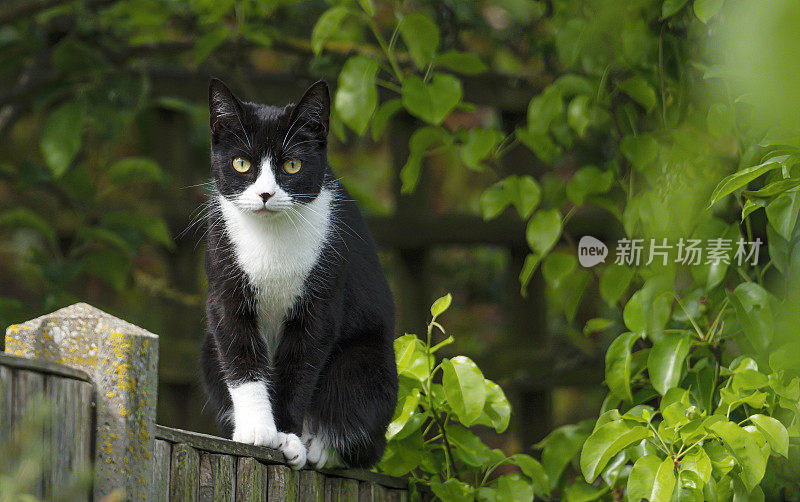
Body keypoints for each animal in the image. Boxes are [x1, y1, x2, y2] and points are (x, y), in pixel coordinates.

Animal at [200, 79, 400, 470]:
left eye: (292, 165)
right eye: (241, 163)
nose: (265, 193)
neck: (271, 236)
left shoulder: (322, 294)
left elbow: (301, 364)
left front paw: (288, 437)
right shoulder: (225, 281)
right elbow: (239, 353)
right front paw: (258, 430)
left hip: (370, 365)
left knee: (360, 426)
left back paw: (318, 446)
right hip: (206, 350)